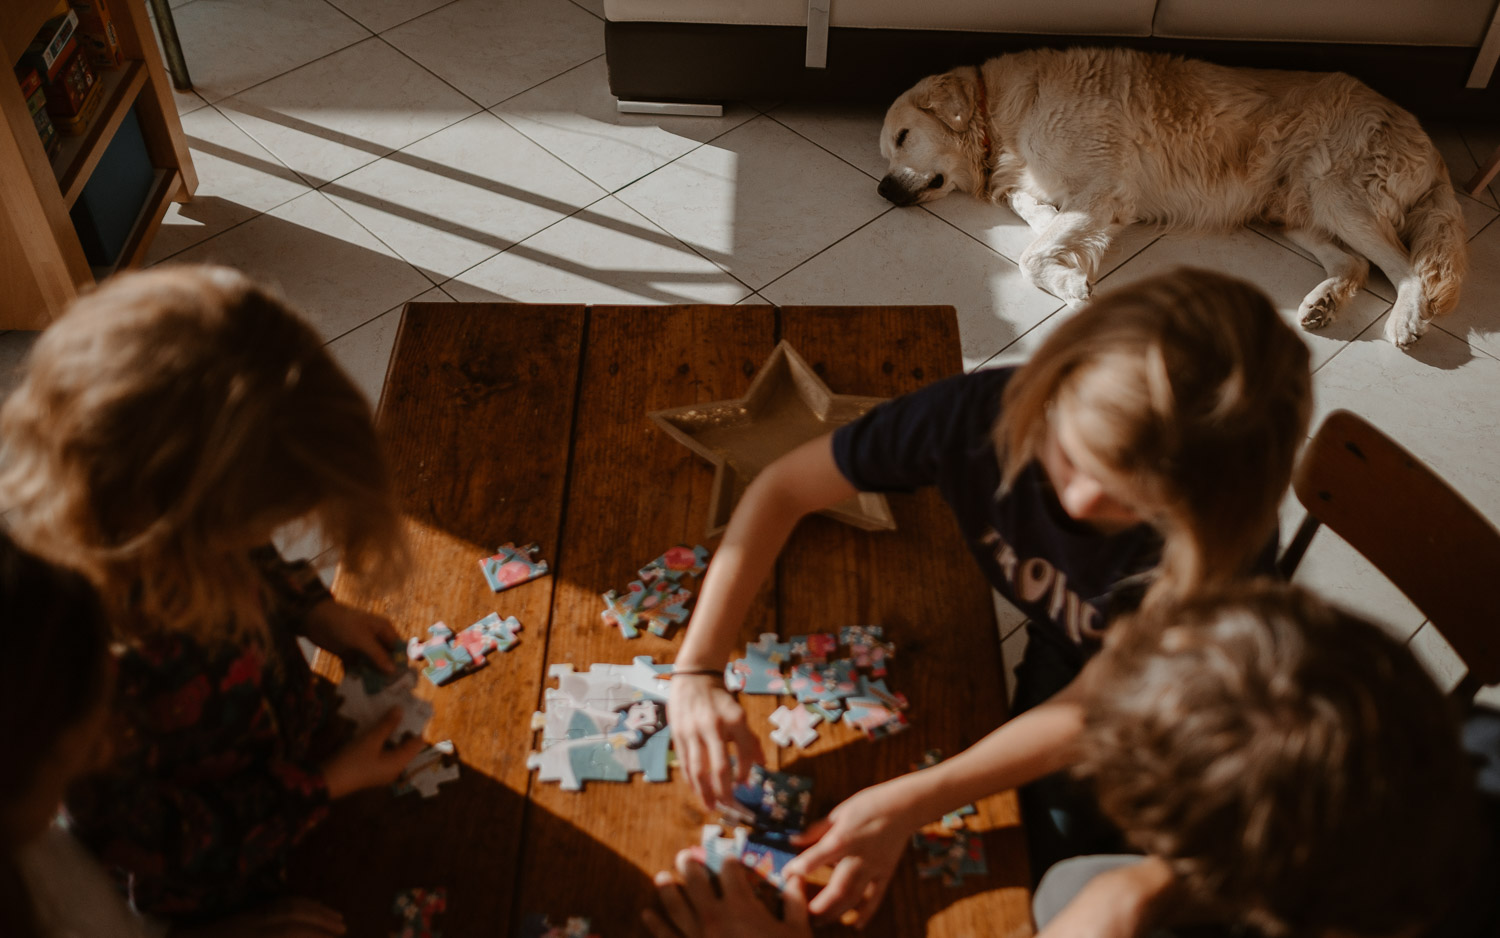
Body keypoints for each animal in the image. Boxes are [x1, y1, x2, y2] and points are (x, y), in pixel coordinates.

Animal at [876, 48, 1464, 348]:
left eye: (902, 138)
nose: (881, 189)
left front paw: (1071, 283)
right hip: (1296, 210)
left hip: (1338, 192)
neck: (997, 112)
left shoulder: (1106, 188)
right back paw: (1323, 304)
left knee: (1407, 267)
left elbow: (1029, 255)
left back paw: (1404, 321)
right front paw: (1067, 255)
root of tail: (1432, 144)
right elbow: (1035, 215)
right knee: (1356, 264)